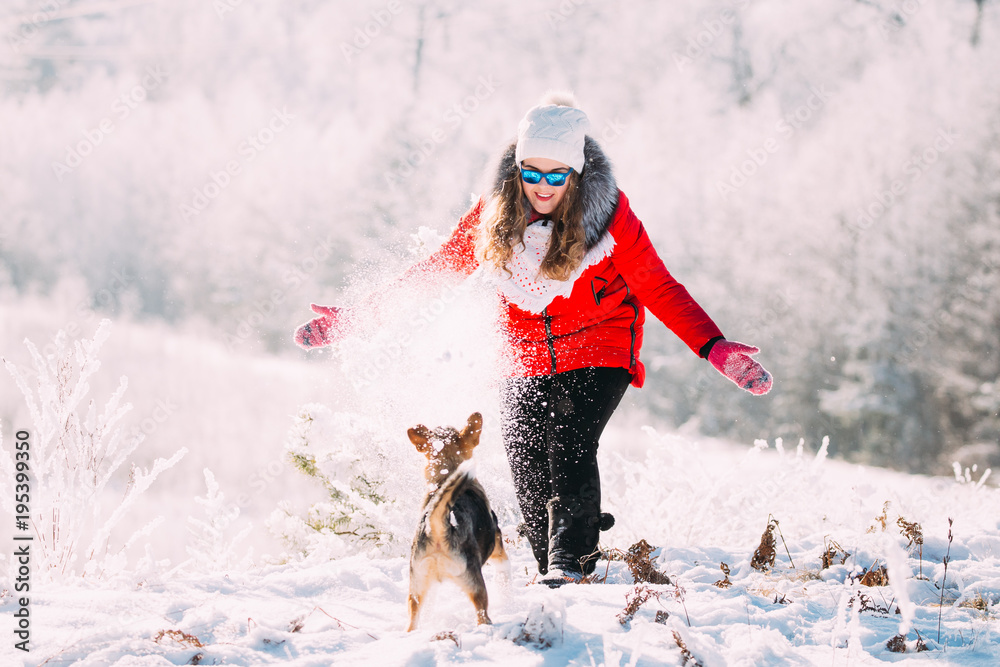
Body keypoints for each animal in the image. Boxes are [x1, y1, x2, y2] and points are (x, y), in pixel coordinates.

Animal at [406, 410, 508, 636]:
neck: (443, 478)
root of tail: (436, 526)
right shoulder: (498, 550)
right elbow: (506, 575)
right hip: (476, 584)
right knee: (482, 614)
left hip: (416, 587)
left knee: (412, 622)